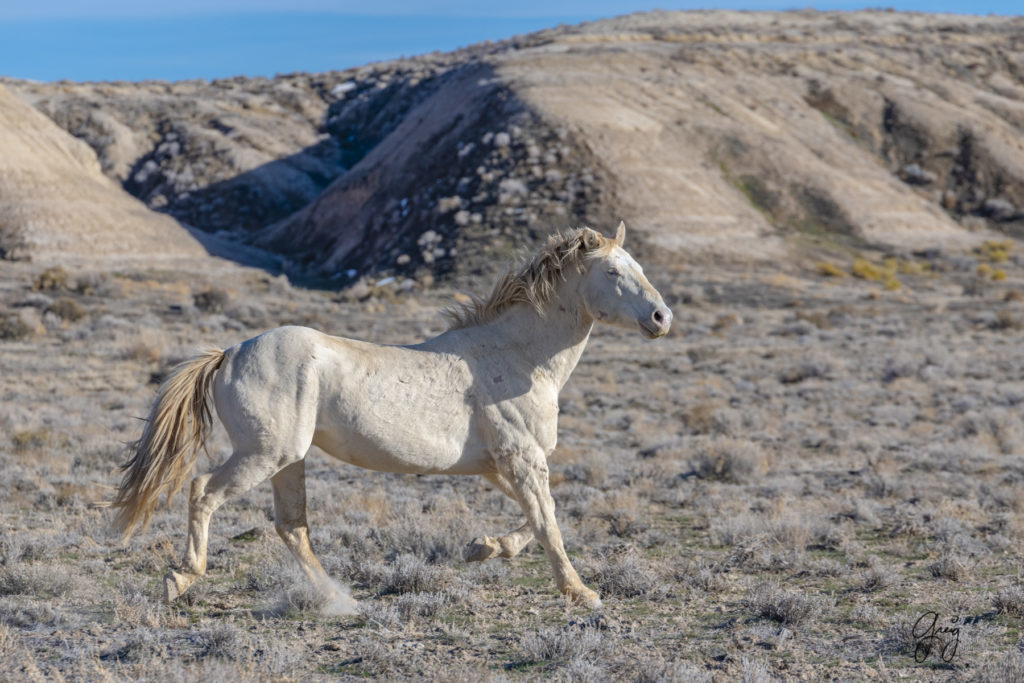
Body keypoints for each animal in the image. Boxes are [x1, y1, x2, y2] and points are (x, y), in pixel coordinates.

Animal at [110, 224, 671, 610]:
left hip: (288, 460)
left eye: (642, 266)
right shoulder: (522, 459)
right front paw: (582, 593)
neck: (517, 356)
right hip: (264, 454)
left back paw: (339, 600)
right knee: (203, 492)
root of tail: (229, 353)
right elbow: (549, 523)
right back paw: (181, 578)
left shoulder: (502, 466)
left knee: (292, 527)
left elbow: (539, 520)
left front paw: (483, 548)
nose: (662, 318)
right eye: (613, 272)